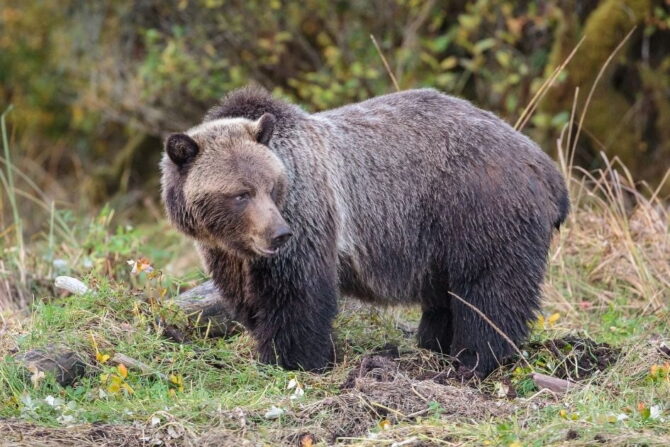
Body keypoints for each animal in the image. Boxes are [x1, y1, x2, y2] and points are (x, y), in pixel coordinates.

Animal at [160, 86, 568, 376]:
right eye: (240, 194)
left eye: (273, 186)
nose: (278, 234)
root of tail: (543, 162)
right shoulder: (229, 254)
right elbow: (248, 299)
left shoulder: (309, 213)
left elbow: (298, 295)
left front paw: (294, 359)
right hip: (440, 237)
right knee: (449, 294)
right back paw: (434, 342)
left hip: (476, 207)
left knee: (488, 290)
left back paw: (473, 359)